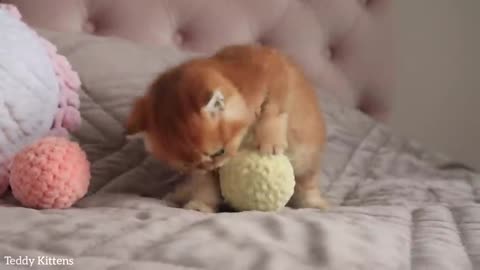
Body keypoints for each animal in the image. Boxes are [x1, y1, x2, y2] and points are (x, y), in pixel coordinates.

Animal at [126, 44, 330, 213]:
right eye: (187, 166)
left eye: (219, 152)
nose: (210, 167)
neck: (240, 85)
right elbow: (205, 187)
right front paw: (200, 205)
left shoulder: (279, 72)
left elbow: (272, 108)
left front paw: (269, 140)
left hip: (306, 160)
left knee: (307, 184)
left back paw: (315, 203)